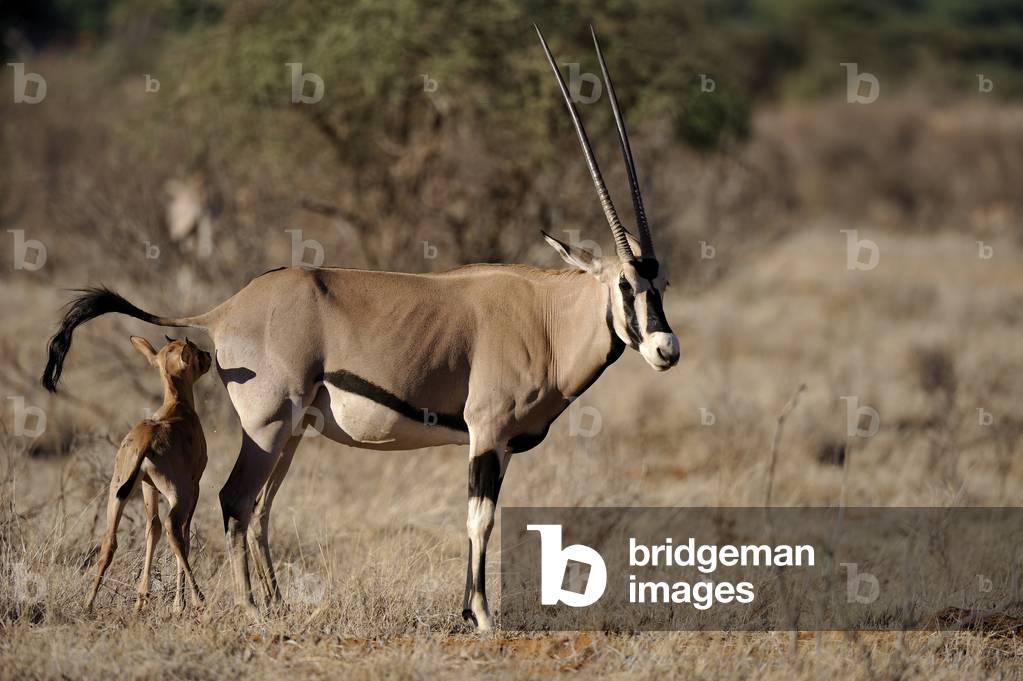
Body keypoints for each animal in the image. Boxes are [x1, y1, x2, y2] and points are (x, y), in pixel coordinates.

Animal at [85, 336, 212, 612]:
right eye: (195, 350)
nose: (209, 355)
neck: (176, 408)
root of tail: (147, 439)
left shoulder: (148, 486)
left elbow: (151, 529)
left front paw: (142, 597)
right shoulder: (195, 487)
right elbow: (185, 534)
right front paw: (178, 603)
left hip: (117, 492)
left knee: (109, 541)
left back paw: (88, 603)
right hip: (178, 495)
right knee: (174, 529)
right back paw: (197, 600)